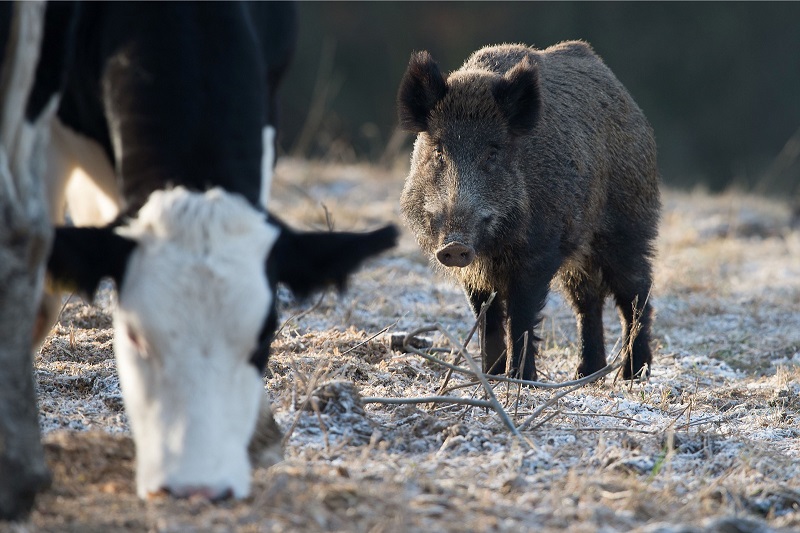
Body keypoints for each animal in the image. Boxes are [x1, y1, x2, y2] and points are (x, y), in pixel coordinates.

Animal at [397, 41, 660, 381]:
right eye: (439, 151)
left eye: (492, 152)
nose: (454, 245)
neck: (493, 246)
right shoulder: (475, 272)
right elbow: (486, 317)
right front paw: (491, 375)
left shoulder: (538, 253)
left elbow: (521, 316)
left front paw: (520, 379)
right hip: (581, 249)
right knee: (587, 300)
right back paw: (586, 374)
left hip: (628, 225)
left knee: (636, 293)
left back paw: (633, 374)